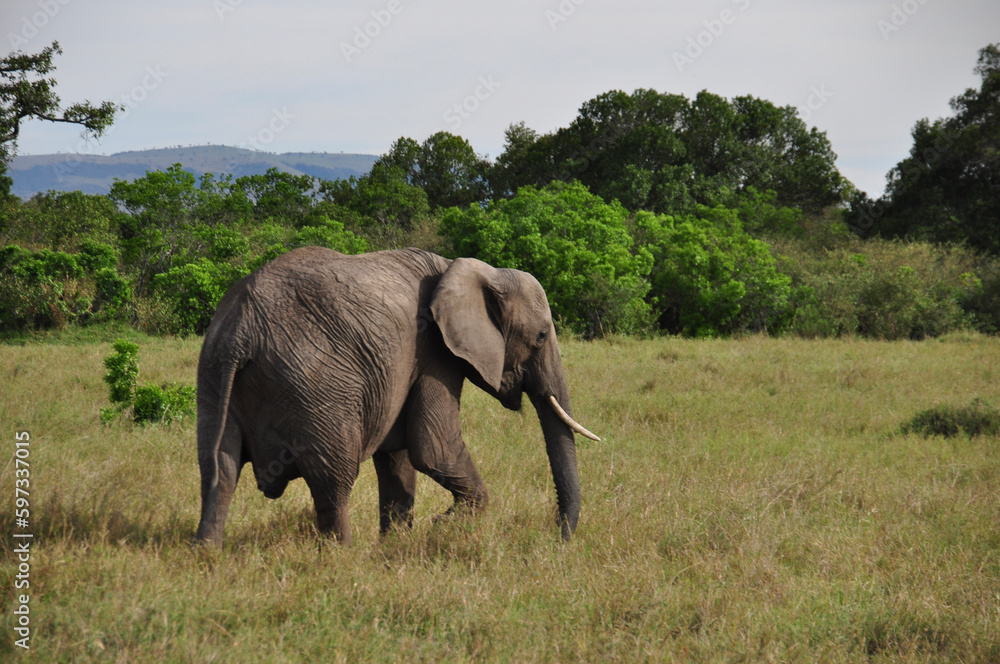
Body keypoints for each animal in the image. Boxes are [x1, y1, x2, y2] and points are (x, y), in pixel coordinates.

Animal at [195, 246, 599, 546]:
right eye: (542, 337)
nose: (559, 538)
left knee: (218, 471)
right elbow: (432, 447)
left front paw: (396, 546)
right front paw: (444, 524)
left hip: (213, 376)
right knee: (334, 479)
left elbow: (398, 457)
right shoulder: (434, 351)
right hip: (314, 387)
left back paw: (207, 554)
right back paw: (340, 558)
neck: (471, 270)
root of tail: (241, 331)